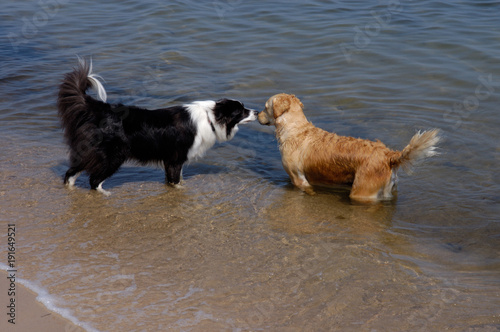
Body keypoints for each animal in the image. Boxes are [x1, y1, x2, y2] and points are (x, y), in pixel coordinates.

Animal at [56, 59, 256, 195]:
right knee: (94, 179)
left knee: (71, 172)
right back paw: (105, 194)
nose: (255, 111)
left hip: (90, 151)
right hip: (113, 156)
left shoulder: (171, 160)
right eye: (241, 111)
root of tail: (101, 109)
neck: (211, 117)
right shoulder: (175, 159)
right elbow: (176, 181)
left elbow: (175, 180)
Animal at [260, 93, 440, 202]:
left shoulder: (299, 179)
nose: (256, 114)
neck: (295, 130)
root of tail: (389, 155)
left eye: (265, 107)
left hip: (361, 192)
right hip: (388, 189)